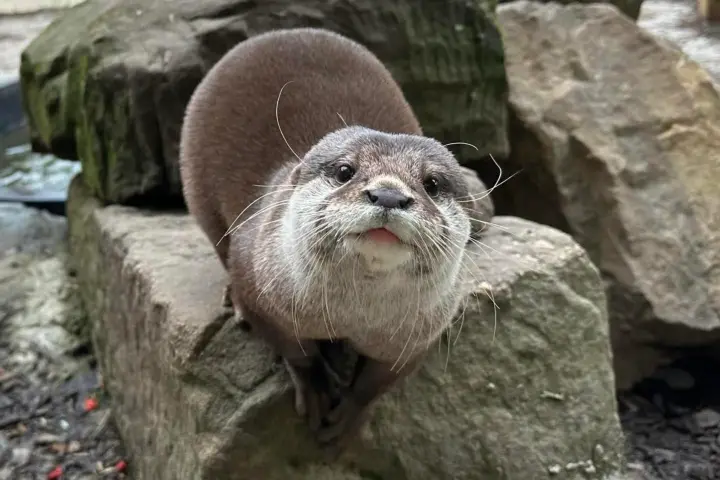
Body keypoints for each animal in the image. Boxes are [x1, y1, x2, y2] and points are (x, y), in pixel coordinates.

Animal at [179, 27, 485, 449]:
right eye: (345, 171)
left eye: (432, 183)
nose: (388, 195)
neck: (350, 316)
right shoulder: (259, 283)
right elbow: (293, 349)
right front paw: (316, 386)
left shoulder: (419, 337)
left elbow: (378, 381)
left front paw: (351, 413)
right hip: (199, 191)